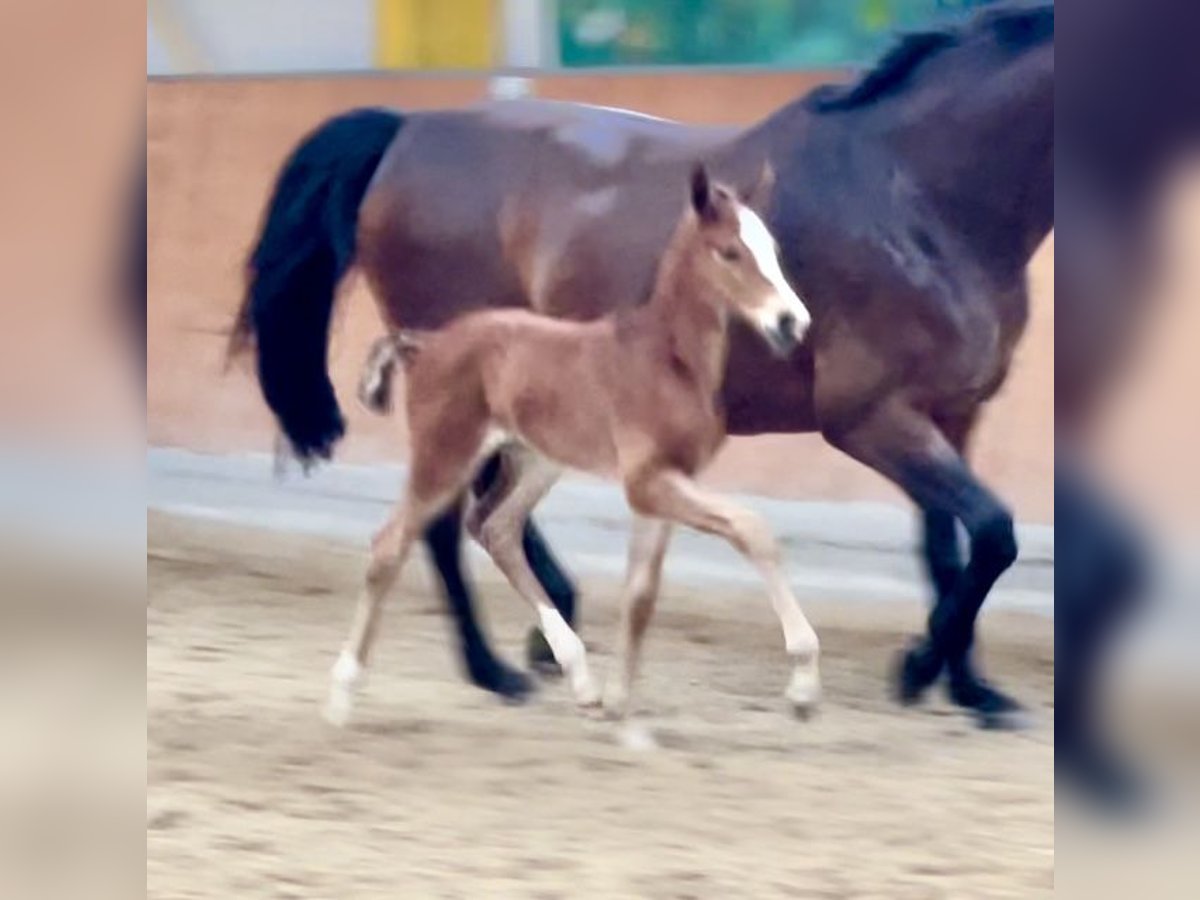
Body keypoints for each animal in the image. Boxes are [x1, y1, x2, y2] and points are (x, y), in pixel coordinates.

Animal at [324, 165, 820, 729]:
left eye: (772, 249)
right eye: (730, 251)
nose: (791, 323)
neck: (670, 360)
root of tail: (424, 344)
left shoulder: (667, 483)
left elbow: (641, 594)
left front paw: (620, 704)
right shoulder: (646, 481)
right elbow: (753, 530)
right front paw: (804, 684)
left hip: (536, 460)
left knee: (495, 528)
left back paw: (581, 680)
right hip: (444, 454)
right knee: (390, 545)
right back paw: (341, 696)